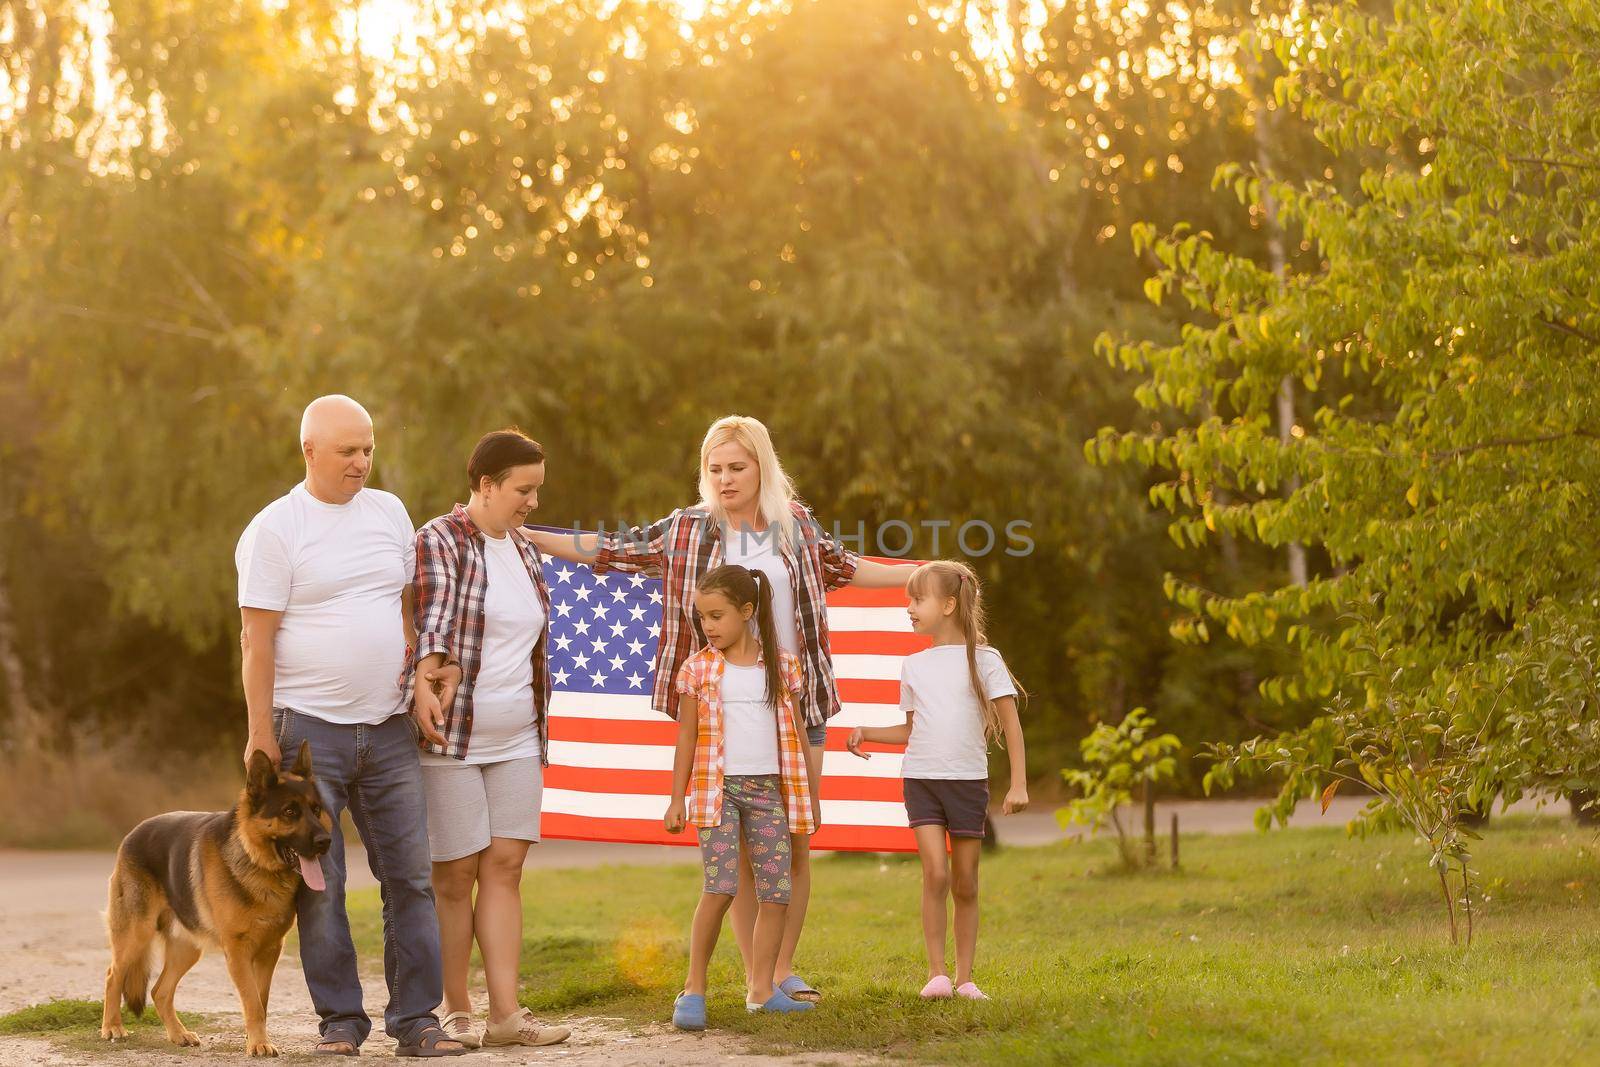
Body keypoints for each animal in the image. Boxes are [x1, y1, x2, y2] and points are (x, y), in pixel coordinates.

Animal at [100, 742, 331, 1062]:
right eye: (289, 812)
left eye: (316, 810)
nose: (325, 842)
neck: (254, 860)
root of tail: (132, 833)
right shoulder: (238, 952)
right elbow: (253, 1002)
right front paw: (258, 1044)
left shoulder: (270, 951)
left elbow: (260, 1001)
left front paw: (255, 1039)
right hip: (136, 934)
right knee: (113, 976)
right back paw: (112, 1027)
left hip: (187, 949)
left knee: (159, 991)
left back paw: (178, 1034)